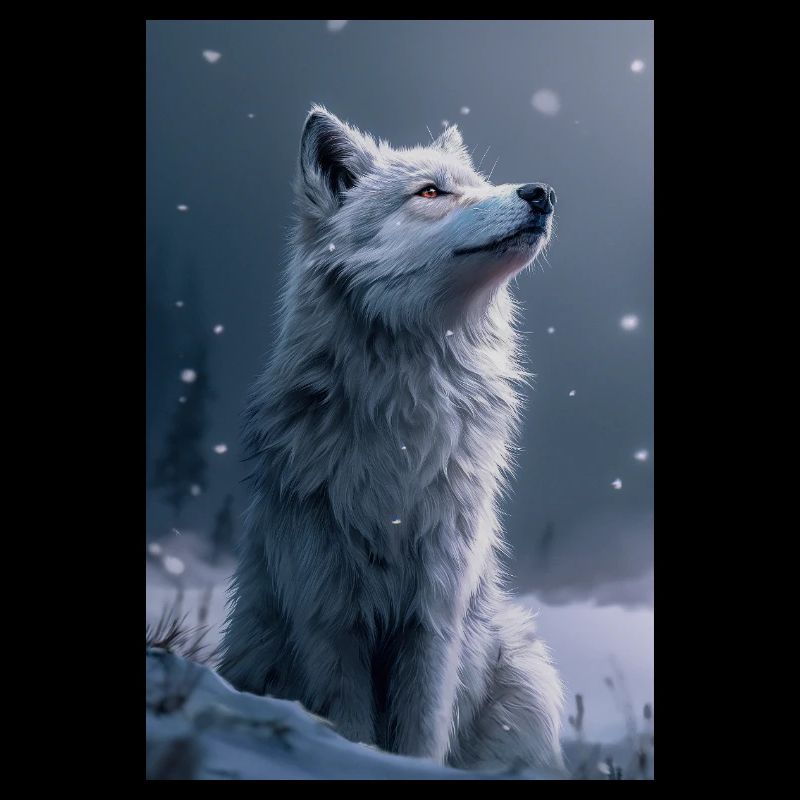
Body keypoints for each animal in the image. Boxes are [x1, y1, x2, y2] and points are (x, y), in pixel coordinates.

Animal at [219, 106, 564, 773]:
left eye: (479, 182)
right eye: (430, 193)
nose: (542, 193)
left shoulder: (435, 619)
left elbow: (422, 734)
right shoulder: (329, 620)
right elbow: (349, 728)